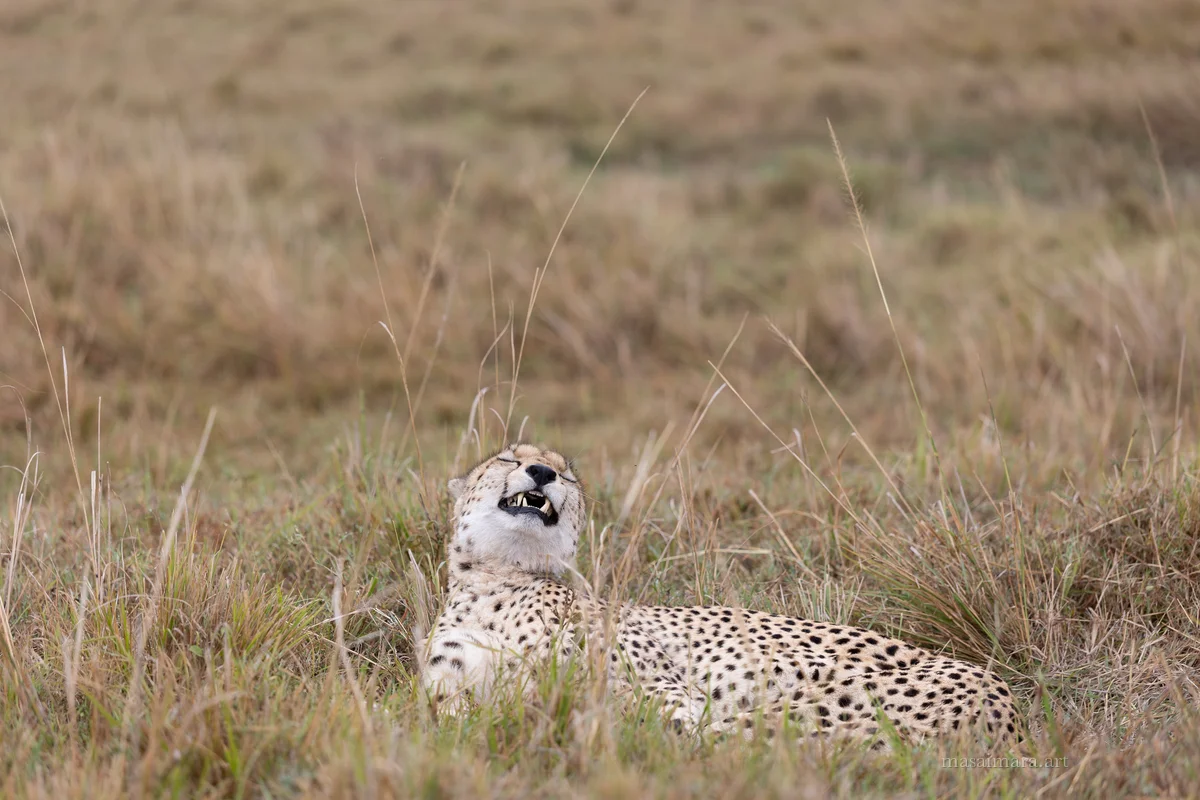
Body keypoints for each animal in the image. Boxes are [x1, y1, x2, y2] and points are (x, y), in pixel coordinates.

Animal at [416, 442, 1018, 750]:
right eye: (507, 457)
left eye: (567, 475)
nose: (541, 472)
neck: (497, 581)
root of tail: (1008, 706)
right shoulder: (447, 698)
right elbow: (448, 719)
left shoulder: (663, 691)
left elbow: (660, 715)